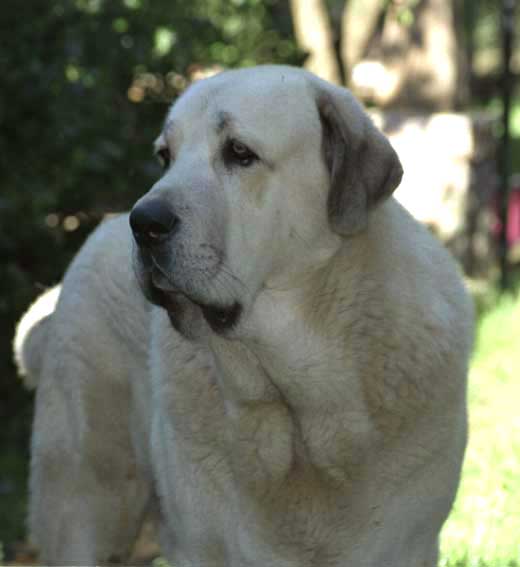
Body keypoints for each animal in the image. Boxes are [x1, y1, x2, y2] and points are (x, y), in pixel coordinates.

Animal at [15, 64, 472, 564]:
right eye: (165, 157)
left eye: (239, 152)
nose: (145, 222)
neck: (296, 406)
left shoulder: (408, 540)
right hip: (88, 499)